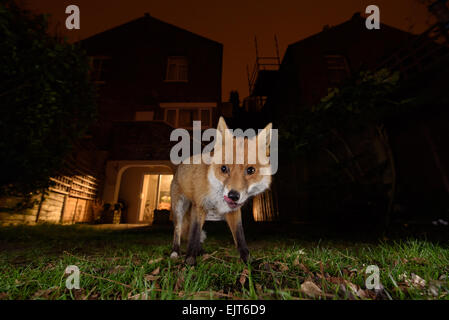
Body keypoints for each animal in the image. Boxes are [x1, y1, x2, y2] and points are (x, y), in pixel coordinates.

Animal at [169, 117, 272, 264]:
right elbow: (193, 235)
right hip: (179, 209)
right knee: (178, 230)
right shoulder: (199, 206)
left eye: (250, 170)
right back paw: (175, 252)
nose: (233, 195)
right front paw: (189, 261)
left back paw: (200, 252)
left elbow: (240, 238)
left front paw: (248, 261)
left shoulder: (233, 212)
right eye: (224, 168)